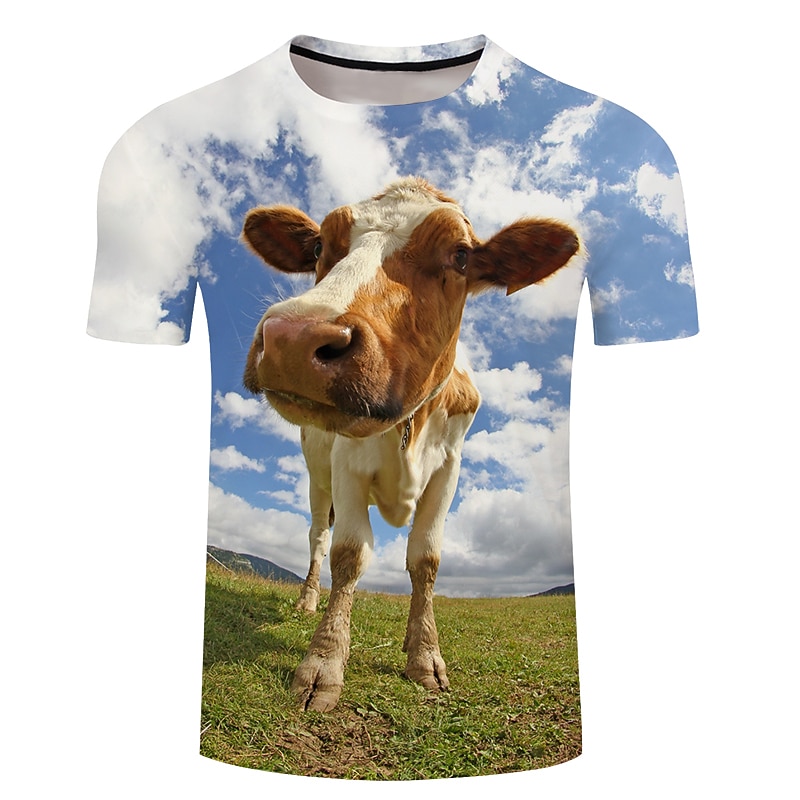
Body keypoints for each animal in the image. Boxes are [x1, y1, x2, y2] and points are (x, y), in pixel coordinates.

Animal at [242, 177, 579, 712]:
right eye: (318, 247)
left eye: (461, 255)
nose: (294, 338)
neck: (409, 426)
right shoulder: (346, 464)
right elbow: (349, 554)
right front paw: (324, 663)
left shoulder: (449, 469)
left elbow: (426, 559)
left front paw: (423, 655)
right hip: (317, 480)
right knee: (318, 537)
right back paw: (308, 599)